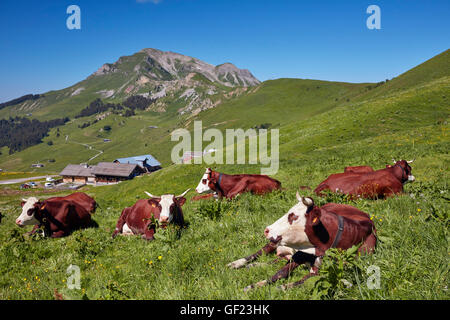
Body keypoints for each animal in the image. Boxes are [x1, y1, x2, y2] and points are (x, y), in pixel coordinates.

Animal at [229, 191, 376, 292]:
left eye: (293, 216)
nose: (267, 230)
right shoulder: (300, 254)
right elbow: (280, 273)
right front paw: (254, 286)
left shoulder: (328, 271)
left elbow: (302, 281)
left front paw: (279, 288)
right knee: (263, 251)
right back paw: (237, 263)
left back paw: (255, 265)